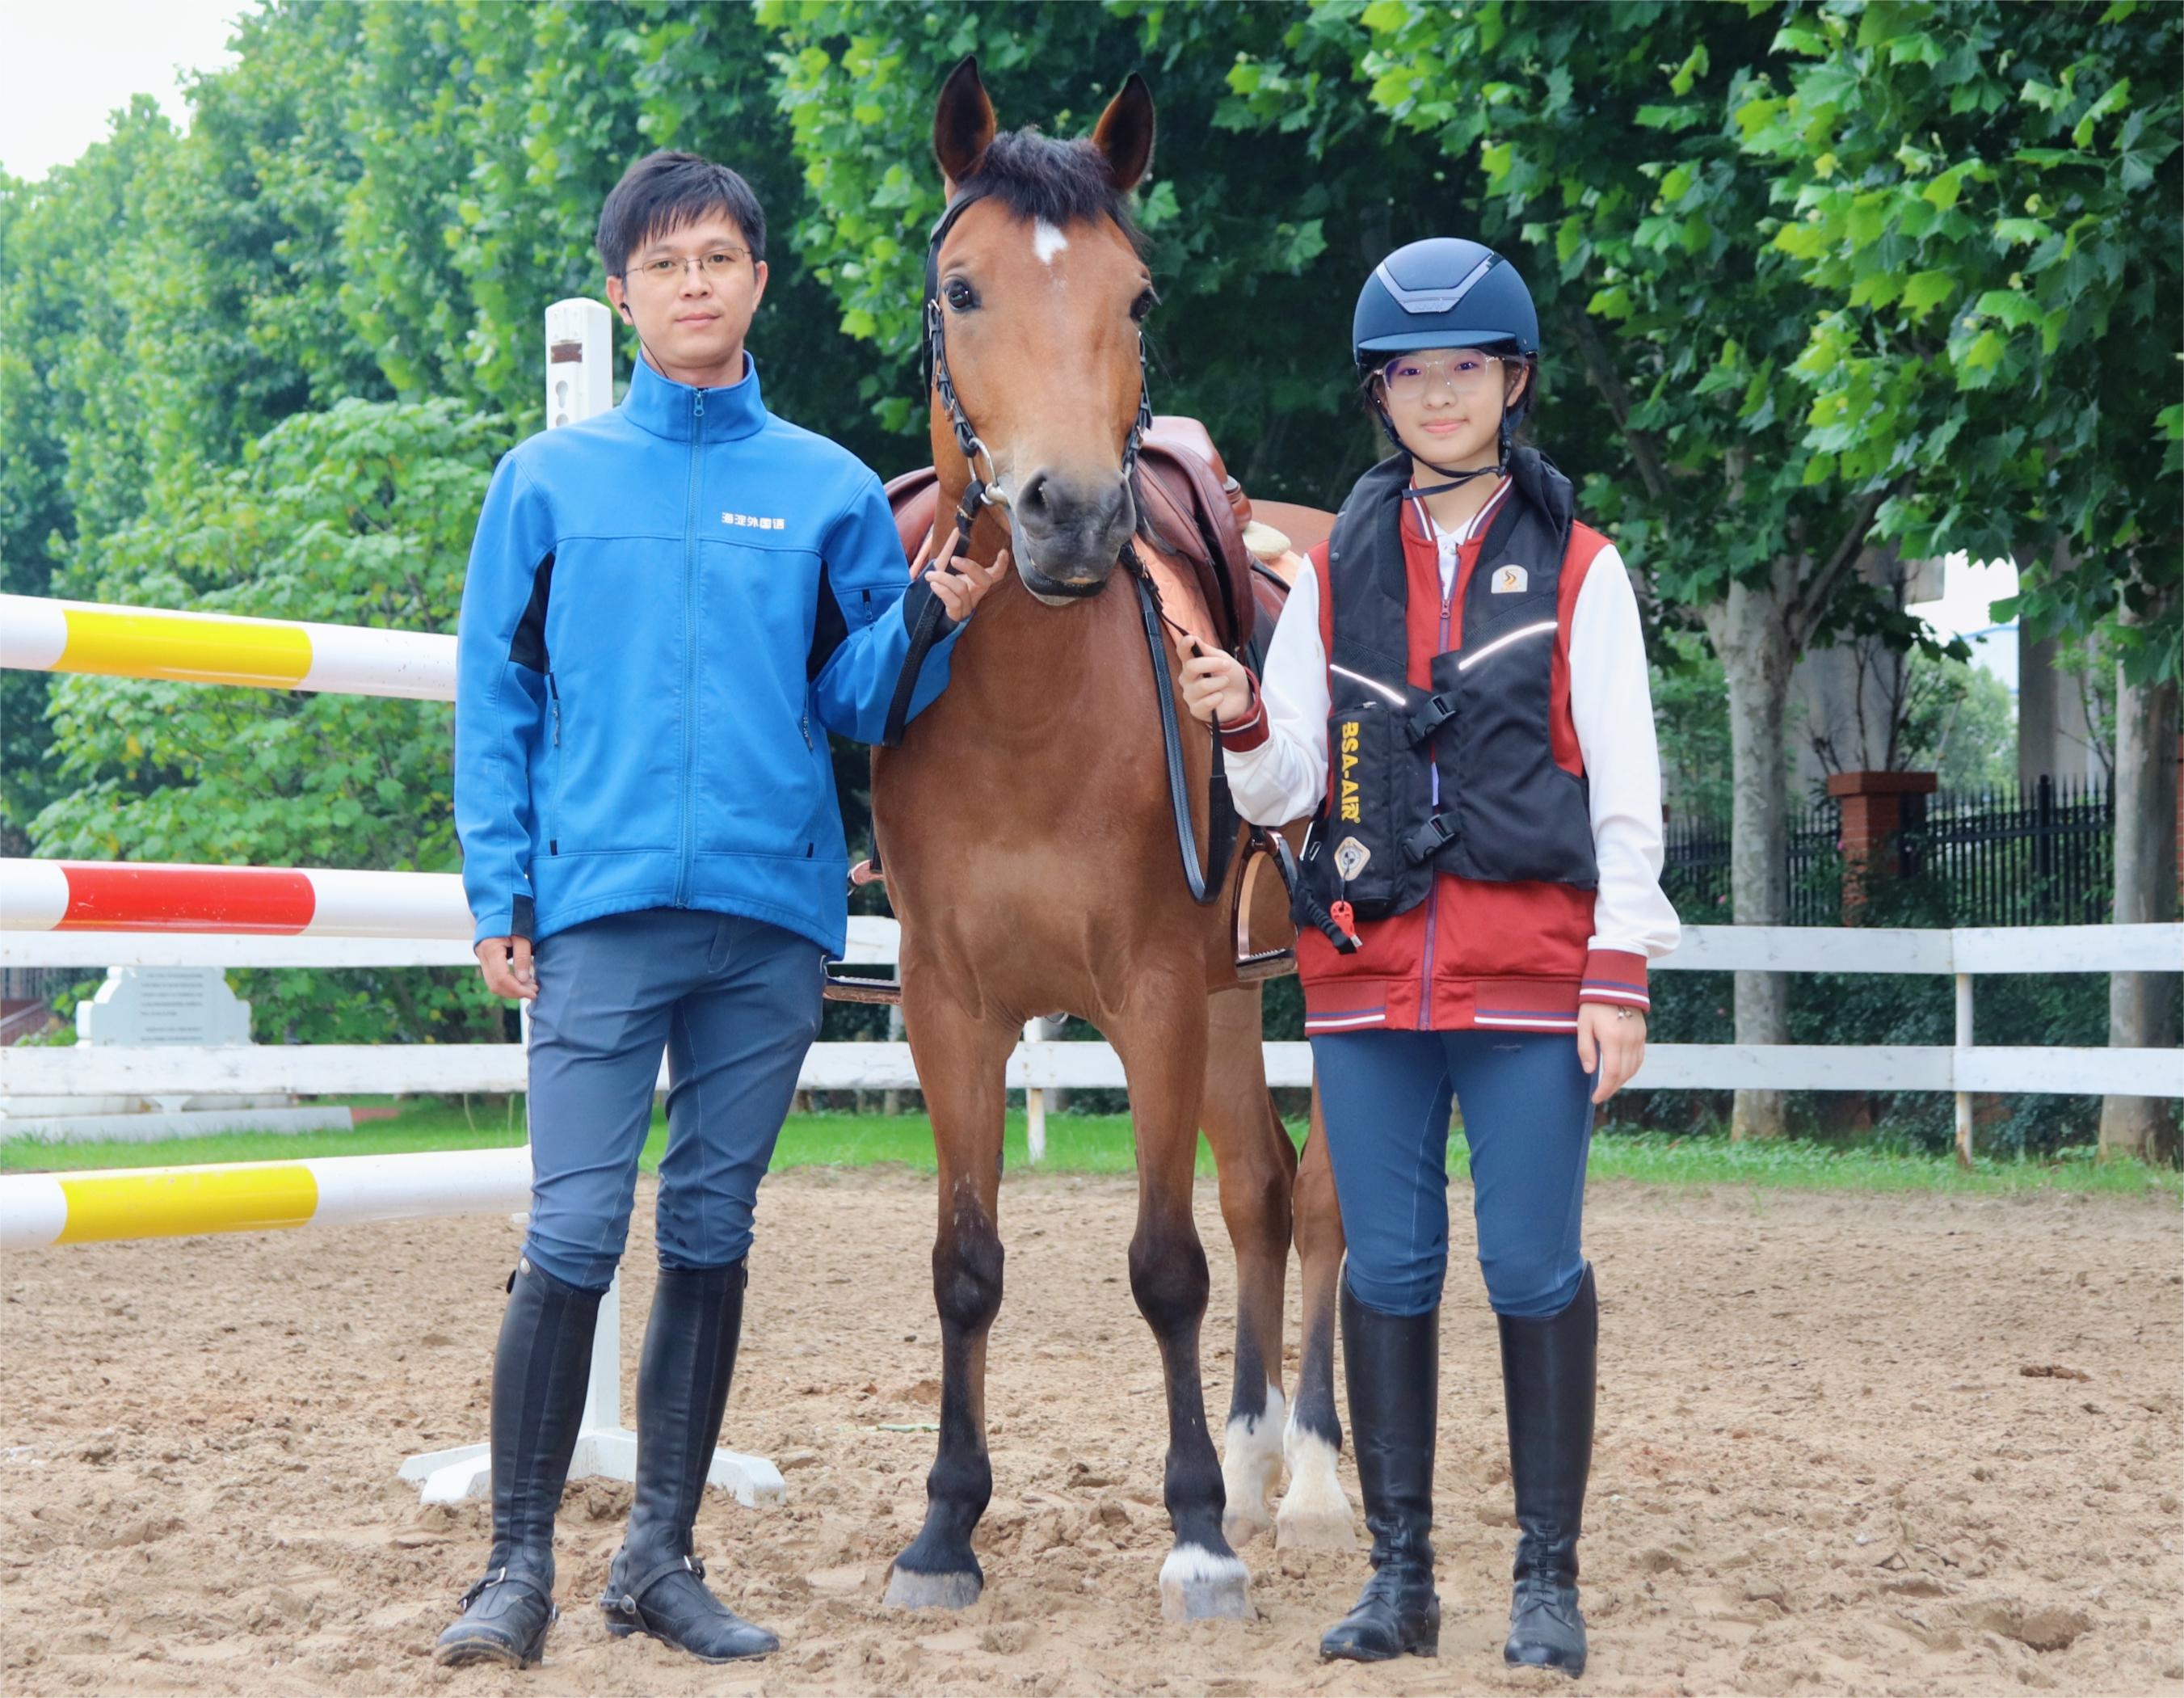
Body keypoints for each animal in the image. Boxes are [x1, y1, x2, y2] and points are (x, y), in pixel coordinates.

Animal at [866, 57, 1353, 1624]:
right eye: (960, 288)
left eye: (1133, 299)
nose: (1072, 514)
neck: (1027, 716)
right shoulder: (951, 1011)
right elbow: (964, 1262)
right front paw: (944, 1529)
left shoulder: (1145, 995)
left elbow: (1162, 1265)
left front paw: (1193, 1533)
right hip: (1230, 991)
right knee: (1262, 1187)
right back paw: (1258, 1462)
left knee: (1320, 1205)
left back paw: (1309, 1480)